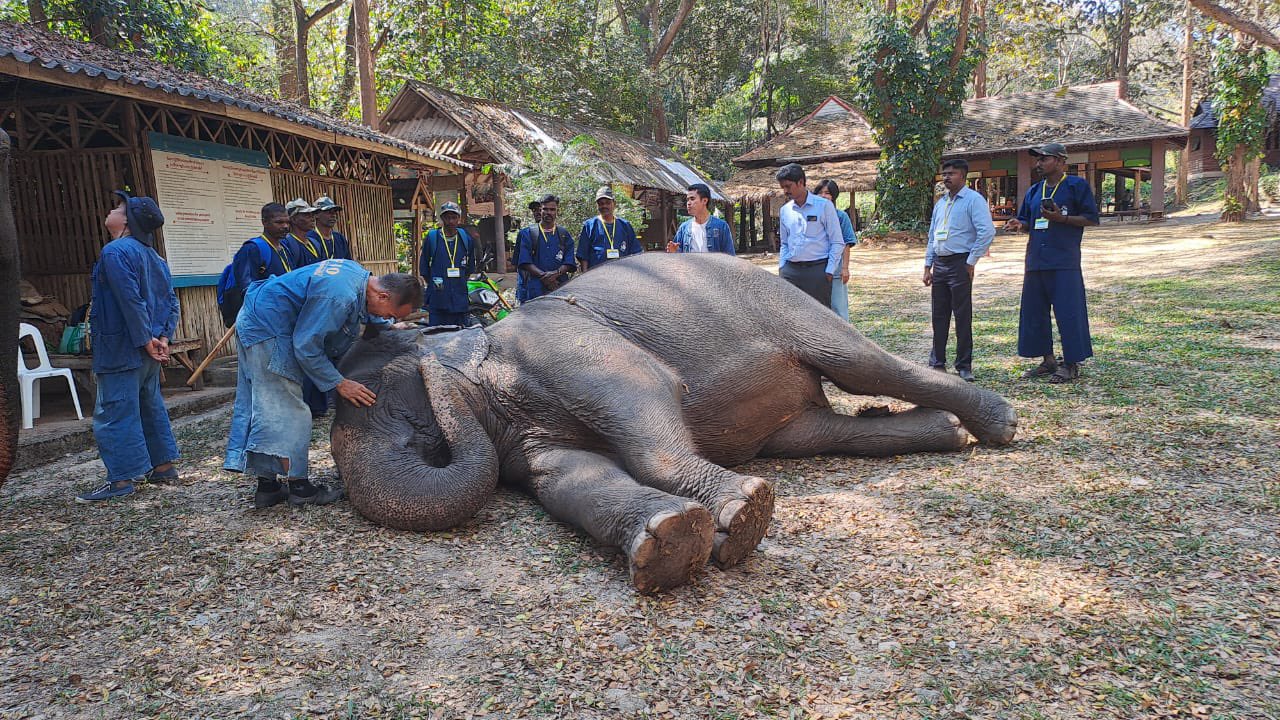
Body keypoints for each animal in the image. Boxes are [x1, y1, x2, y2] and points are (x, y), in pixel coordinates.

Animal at [332, 252, 1018, 589]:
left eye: (389, 401)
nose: (433, 373)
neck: (481, 349)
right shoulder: (524, 435)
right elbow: (571, 482)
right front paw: (669, 545)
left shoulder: (570, 346)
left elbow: (645, 398)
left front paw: (742, 517)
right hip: (792, 414)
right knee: (820, 432)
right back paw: (947, 432)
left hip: (789, 307)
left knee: (861, 364)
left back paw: (998, 425)